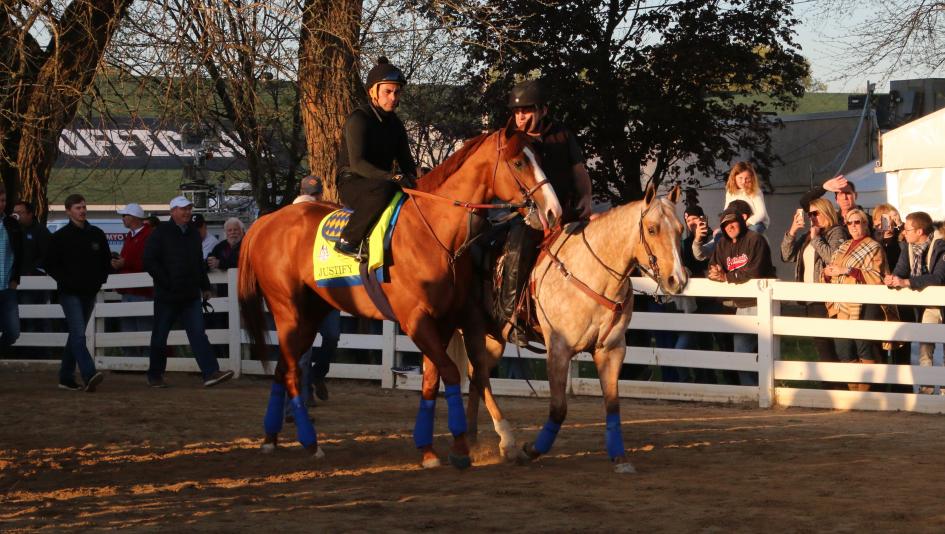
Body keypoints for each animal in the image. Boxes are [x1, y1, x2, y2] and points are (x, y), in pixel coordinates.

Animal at [238, 127, 560, 472]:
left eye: (539, 157)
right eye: (518, 162)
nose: (553, 211)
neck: (434, 233)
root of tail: (266, 222)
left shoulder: (446, 319)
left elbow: (435, 379)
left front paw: (429, 449)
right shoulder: (416, 320)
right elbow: (449, 373)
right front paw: (459, 447)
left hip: (310, 316)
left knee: (281, 369)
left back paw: (271, 439)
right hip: (289, 312)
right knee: (291, 372)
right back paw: (311, 443)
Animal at [430, 184, 684, 474]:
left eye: (681, 229)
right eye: (652, 229)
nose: (677, 280)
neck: (591, 273)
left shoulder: (611, 350)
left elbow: (612, 405)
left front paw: (620, 458)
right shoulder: (559, 350)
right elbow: (558, 409)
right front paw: (531, 450)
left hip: (492, 337)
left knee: (476, 376)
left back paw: (473, 440)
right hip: (468, 330)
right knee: (473, 374)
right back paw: (506, 443)